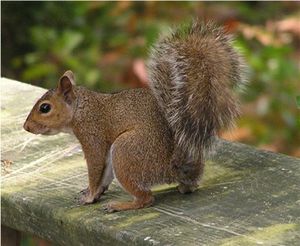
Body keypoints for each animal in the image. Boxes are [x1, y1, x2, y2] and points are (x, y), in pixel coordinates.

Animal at [24, 21, 246, 212]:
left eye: (45, 108)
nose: (26, 127)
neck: (81, 108)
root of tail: (172, 166)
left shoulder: (93, 136)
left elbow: (95, 168)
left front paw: (89, 196)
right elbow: (104, 175)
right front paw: (94, 193)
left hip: (126, 151)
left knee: (146, 199)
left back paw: (121, 205)